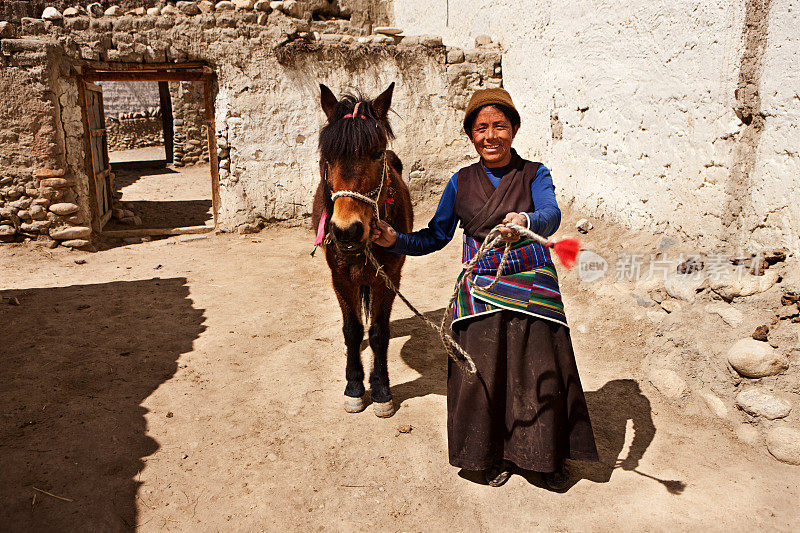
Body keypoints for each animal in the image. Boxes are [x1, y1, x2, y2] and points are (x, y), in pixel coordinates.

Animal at [310, 82, 412, 416]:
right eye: (326, 156)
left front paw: (380, 389)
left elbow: (379, 333)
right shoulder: (340, 278)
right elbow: (352, 331)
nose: (347, 230)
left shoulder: (389, 278)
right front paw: (354, 386)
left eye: (377, 153)